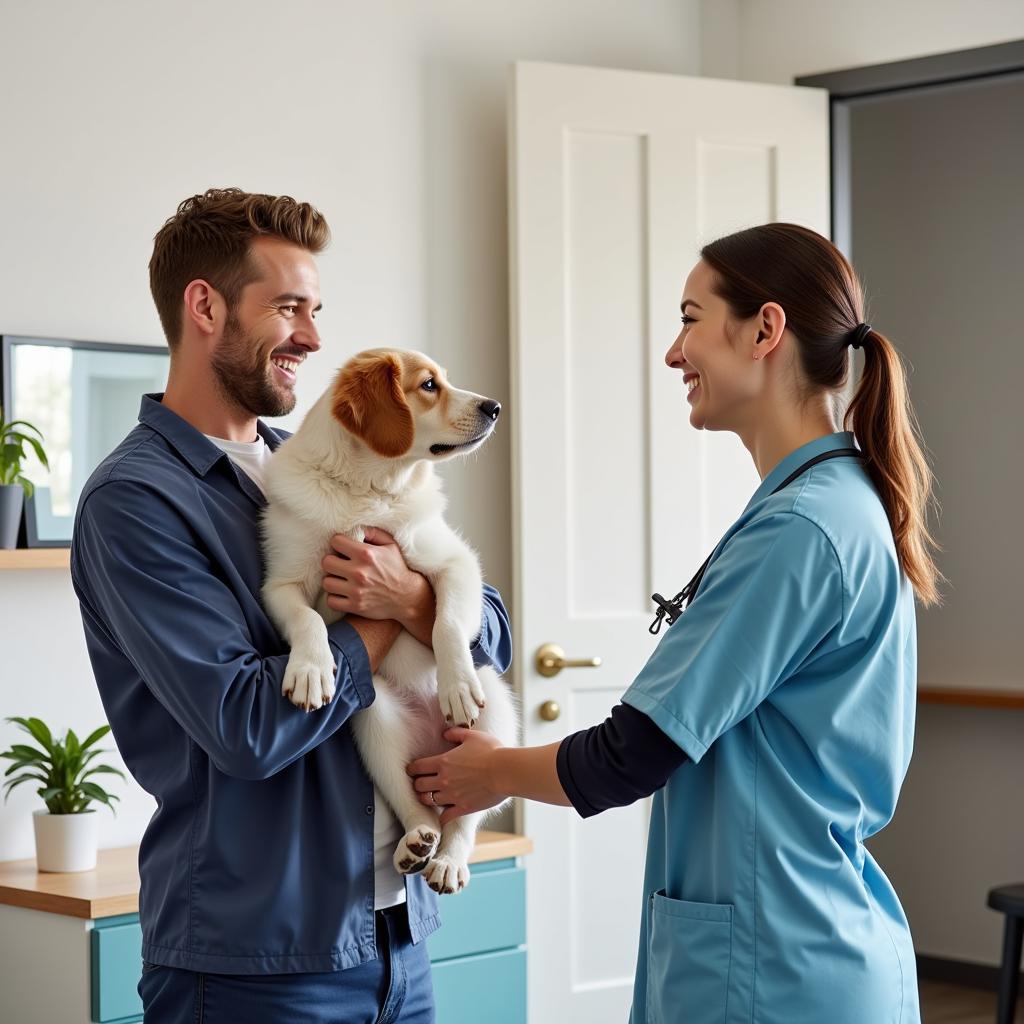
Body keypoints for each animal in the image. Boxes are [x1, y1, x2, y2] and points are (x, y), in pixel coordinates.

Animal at [260, 348, 516, 892]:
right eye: (428, 385)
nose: (495, 407)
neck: (369, 490)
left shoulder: (455, 564)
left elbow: (445, 625)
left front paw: (455, 688)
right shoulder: (282, 584)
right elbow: (309, 620)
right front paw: (310, 670)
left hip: (494, 718)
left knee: (464, 817)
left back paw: (448, 860)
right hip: (373, 720)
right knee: (414, 803)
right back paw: (417, 842)